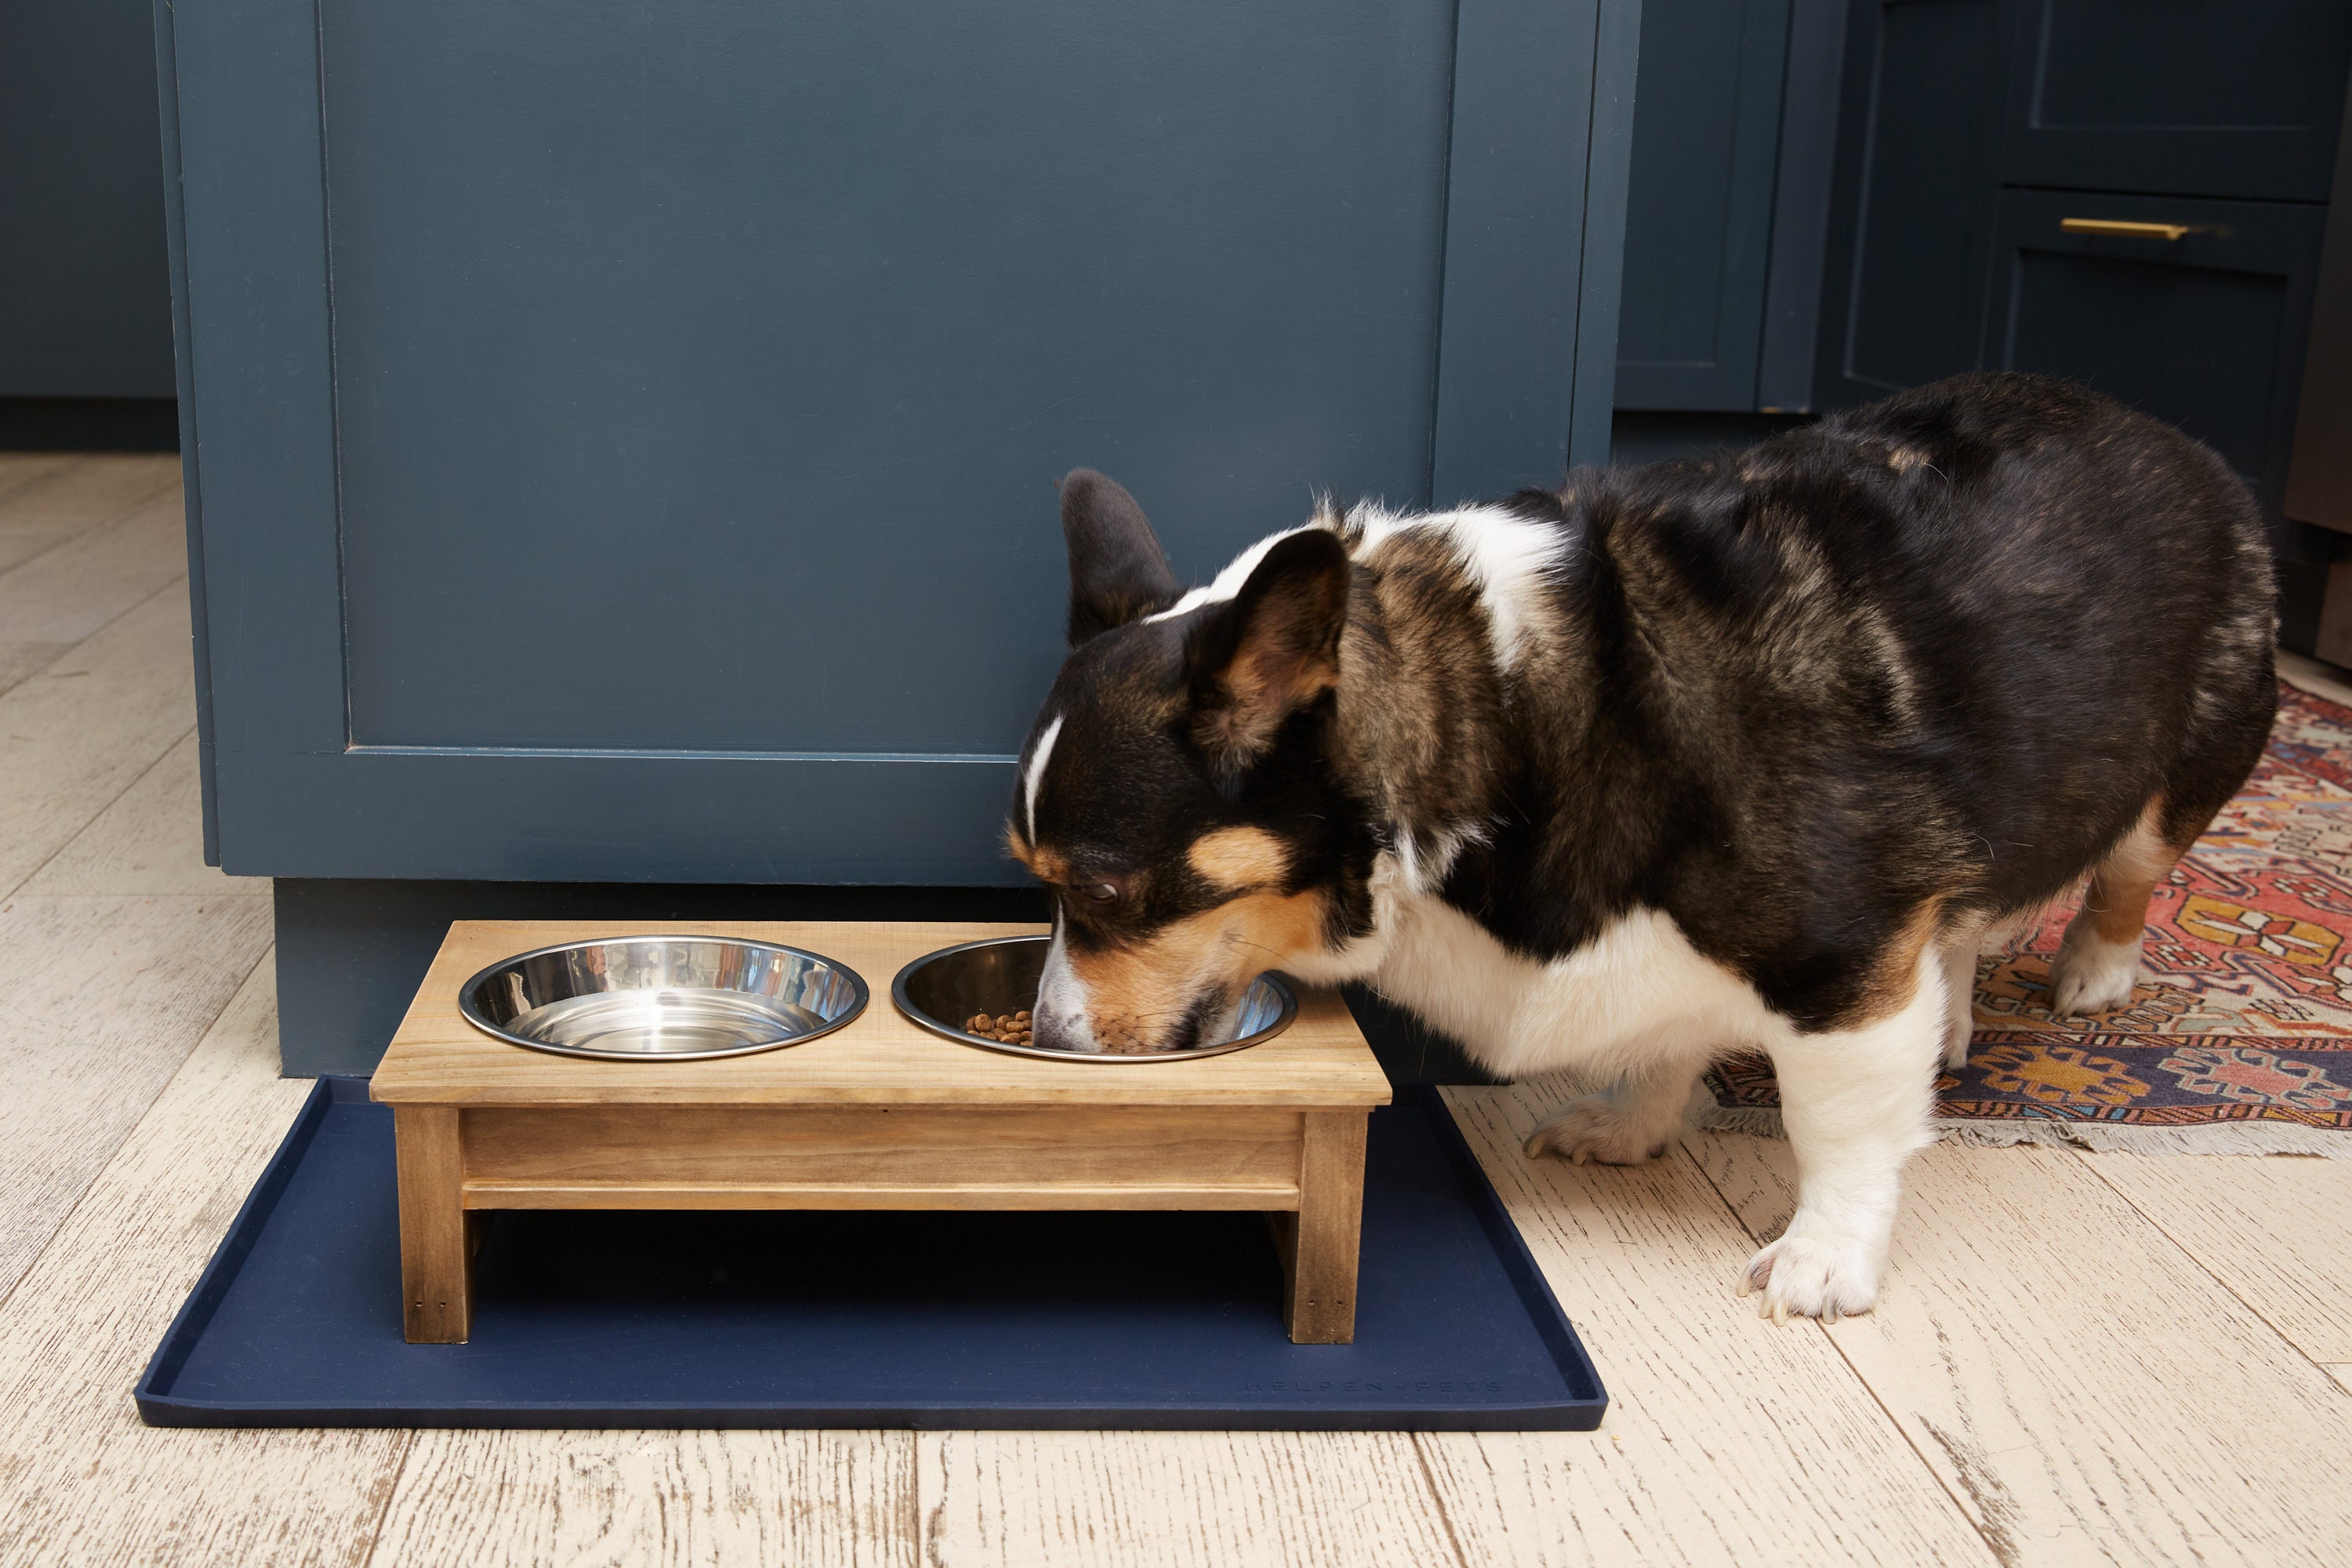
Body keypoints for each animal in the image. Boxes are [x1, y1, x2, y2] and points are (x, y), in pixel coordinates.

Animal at [1007, 373, 2277, 1316]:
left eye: (1106, 887)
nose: (1048, 1042)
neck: (1500, 719)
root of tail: (2155, 426)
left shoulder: (1838, 957)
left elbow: (1842, 1121)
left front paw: (1824, 1259)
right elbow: (1667, 1036)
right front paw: (1635, 1125)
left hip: (2192, 753)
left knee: (2129, 868)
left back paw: (2095, 974)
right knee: (1962, 905)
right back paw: (1958, 1013)